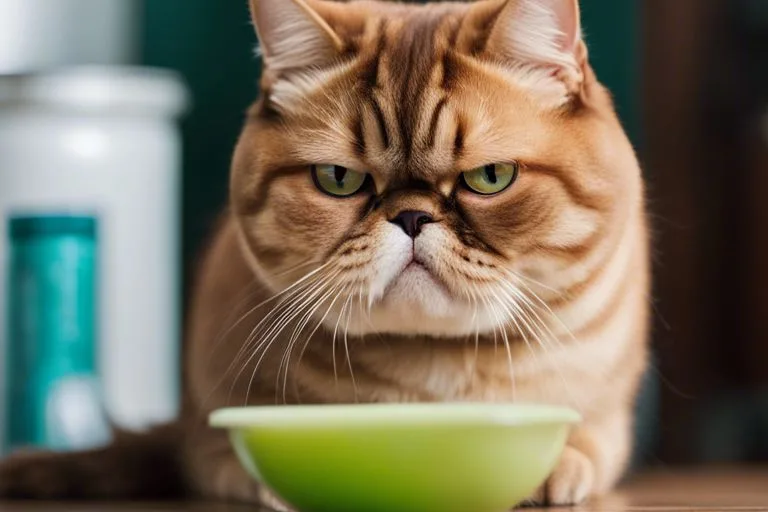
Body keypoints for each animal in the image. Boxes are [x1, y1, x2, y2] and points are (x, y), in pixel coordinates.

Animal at [0, 0, 652, 506]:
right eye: (339, 179)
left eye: (491, 177)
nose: (410, 216)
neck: (431, 375)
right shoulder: (205, 435)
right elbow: (227, 456)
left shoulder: (607, 416)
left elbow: (589, 435)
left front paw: (556, 461)